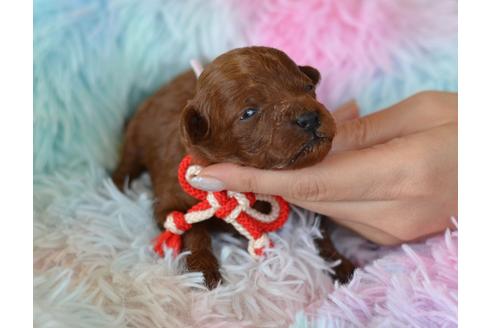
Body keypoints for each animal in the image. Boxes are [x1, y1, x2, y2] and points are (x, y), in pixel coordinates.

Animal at [112, 45, 354, 288]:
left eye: (308, 87)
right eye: (248, 113)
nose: (309, 118)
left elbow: (318, 230)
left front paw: (340, 264)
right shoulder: (170, 201)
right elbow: (191, 230)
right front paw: (203, 273)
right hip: (136, 135)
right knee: (127, 163)